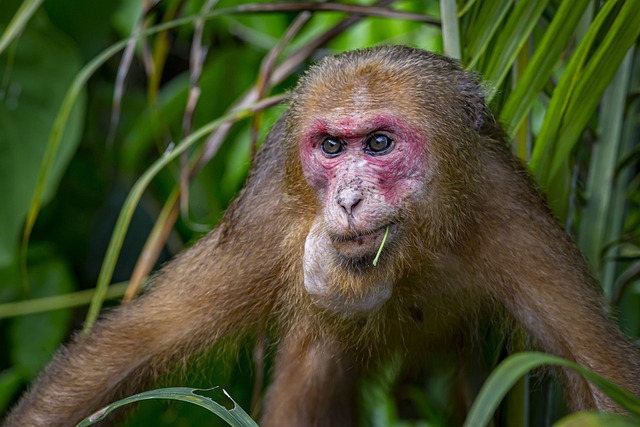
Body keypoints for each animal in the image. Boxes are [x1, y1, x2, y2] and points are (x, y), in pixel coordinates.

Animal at [5, 45, 640, 426]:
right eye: (331, 146)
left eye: (379, 143)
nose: (348, 200)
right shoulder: (267, 227)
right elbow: (133, 346)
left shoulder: (513, 224)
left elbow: (604, 385)